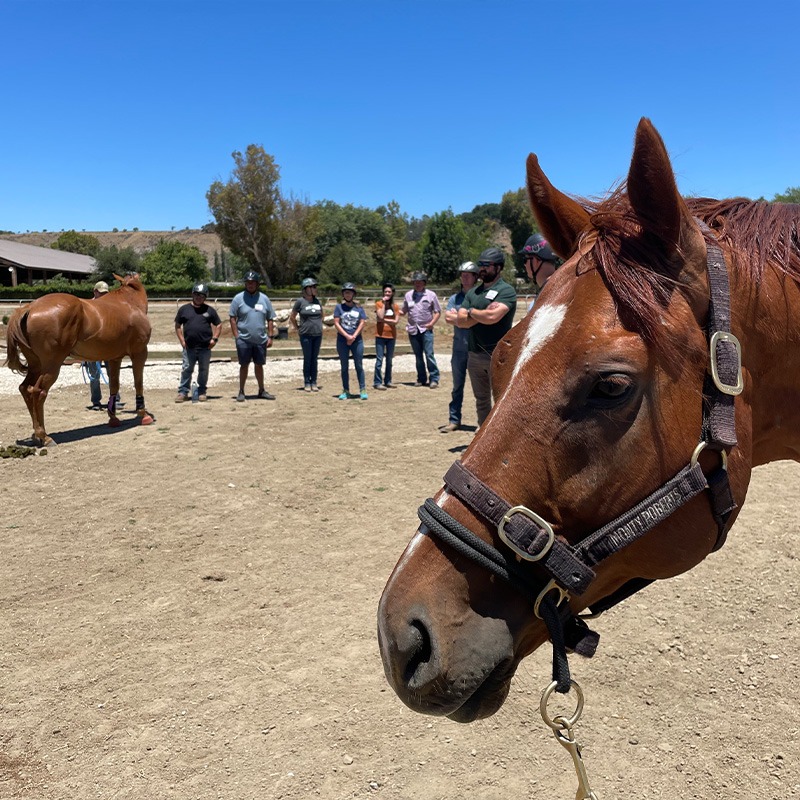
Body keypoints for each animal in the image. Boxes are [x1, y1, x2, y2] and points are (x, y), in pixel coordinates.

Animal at [5, 274, 154, 446]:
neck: (129, 303)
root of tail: (30, 307)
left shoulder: (114, 358)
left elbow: (114, 386)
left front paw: (113, 418)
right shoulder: (140, 353)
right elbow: (138, 383)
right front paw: (143, 414)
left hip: (36, 366)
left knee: (25, 389)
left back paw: (37, 435)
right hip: (52, 366)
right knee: (37, 392)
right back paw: (44, 436)